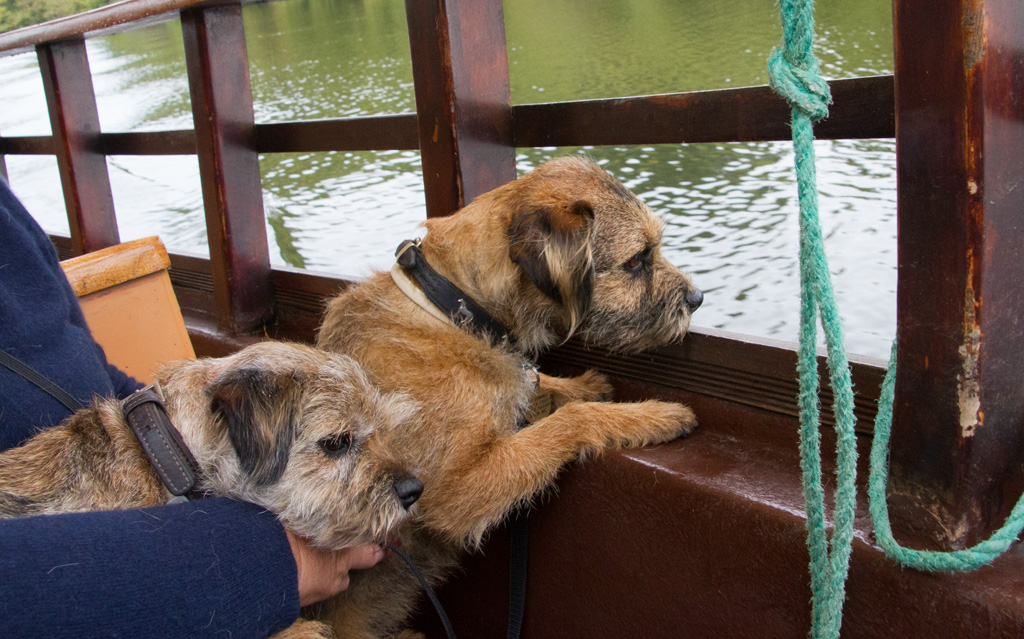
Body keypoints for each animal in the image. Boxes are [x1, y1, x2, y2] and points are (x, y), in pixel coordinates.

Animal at [314, 156, 703, 638]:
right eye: (636, 261)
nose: (697, 298)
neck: (454, 309)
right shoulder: (459, 489)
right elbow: (571, 420)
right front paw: (655, 414)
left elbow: (537, 382)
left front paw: (581, 384)